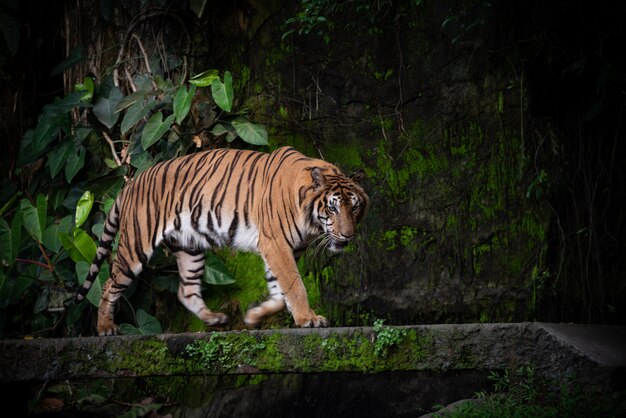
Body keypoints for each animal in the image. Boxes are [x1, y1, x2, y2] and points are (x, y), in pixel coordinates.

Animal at [73, 145, 368, 334]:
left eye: (353, 208)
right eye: (332, 208)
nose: (348, 235)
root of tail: (132, 183)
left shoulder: (280, 249)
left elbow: (278, 289)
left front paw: (254, 316)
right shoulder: (276, 244)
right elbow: (294, 285)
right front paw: (308, 319)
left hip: (190, 247)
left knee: (186, 291)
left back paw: (215, 319)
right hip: (136, 246)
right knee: (109, 284)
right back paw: (105, 328)